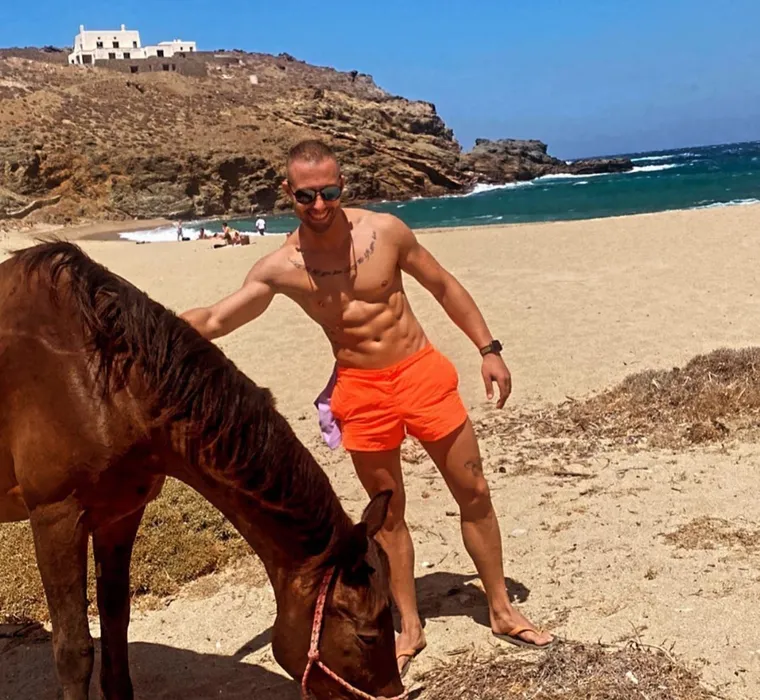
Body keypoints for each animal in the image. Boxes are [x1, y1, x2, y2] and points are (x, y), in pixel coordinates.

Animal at [0, 241, 405, 700]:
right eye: (367, 635)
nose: (394, 692)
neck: (98, 379)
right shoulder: (56, 519)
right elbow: (74, 650)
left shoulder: (119, 515)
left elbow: (116, 620)